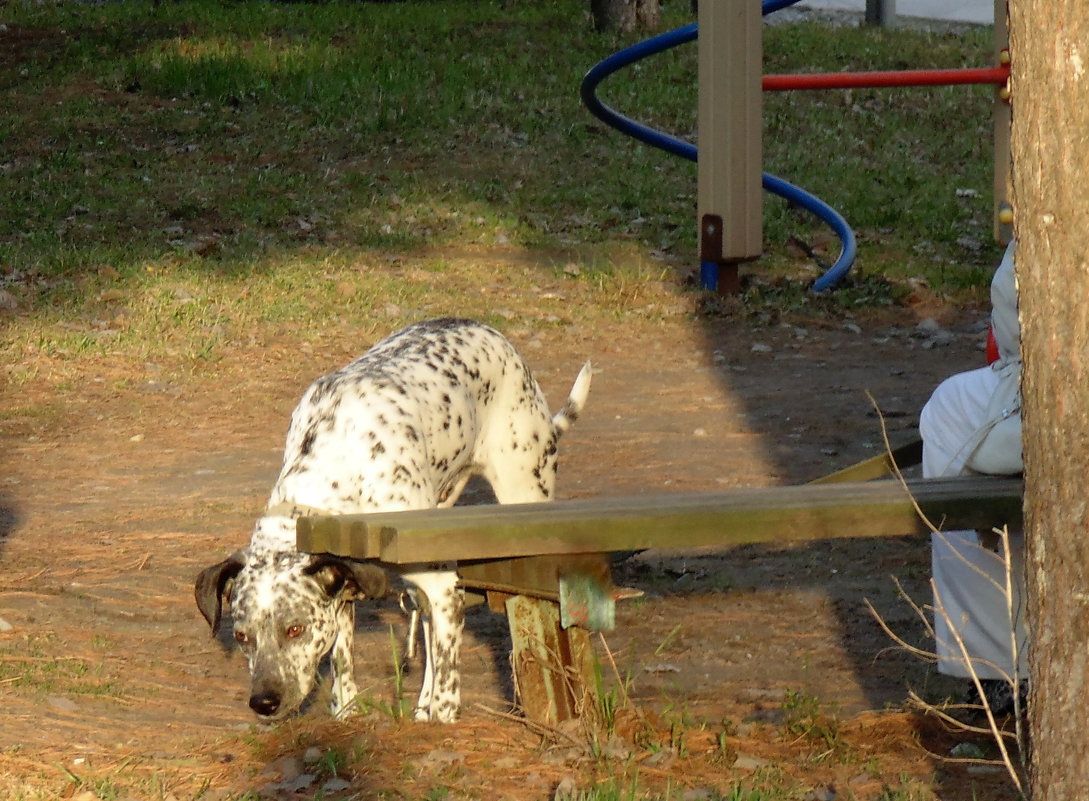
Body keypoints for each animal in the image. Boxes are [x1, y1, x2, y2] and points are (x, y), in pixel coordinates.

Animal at [191, 319, 592, 726]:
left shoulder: (444, 588)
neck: (338, 464)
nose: (263, 702)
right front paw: (348, 709)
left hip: (521, 495)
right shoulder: (347, 589)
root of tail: (488, 330)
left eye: (295, 629)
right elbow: (344, 667)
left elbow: (447, 687)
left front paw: (441, 715)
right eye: (242, 637)